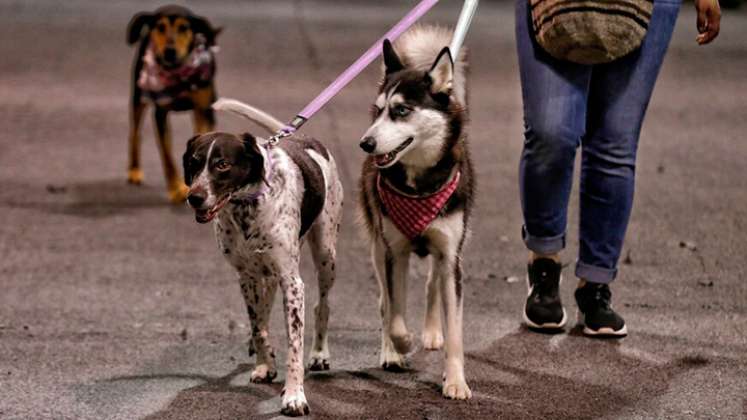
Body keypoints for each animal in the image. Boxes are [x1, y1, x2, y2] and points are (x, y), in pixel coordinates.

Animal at [127, 5, 221, 203]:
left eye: (183, 28)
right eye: (160, 27)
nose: (170, 51)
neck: (178, 73)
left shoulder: (205, 109)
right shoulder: (160, 113)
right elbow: (167, 155)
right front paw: (175, 189)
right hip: (138, 95)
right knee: (135, 133)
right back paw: (134, 170)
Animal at [184, 99, 344, 416]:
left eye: (222, 164)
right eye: (194, 163)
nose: (194, 197)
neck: (246, 207)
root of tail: (302, 138)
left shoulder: (292, 283)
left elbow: (294, 345)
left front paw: (294, 396)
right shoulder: (246, 277)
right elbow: (258, 324)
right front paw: (264, 364)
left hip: (325, 254)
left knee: (322, 305)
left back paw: (320, 353)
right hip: (265, 274)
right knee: (264, 313)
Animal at [356, 26, 474, 400]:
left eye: (402, 110)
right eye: (379, 111)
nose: (365, 143)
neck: (419, 184)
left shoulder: (452, 257)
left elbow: (456, 330)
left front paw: (455, 380)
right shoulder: (394, 251)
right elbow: (395, 314)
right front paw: (401, 344)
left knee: (432, 284)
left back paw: (432, 332)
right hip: (377, 248)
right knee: (384, 301)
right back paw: (393, 350)